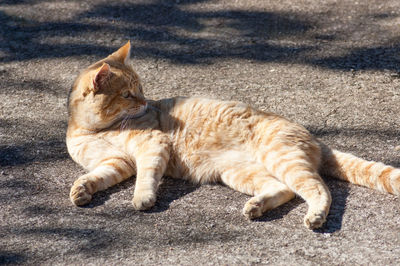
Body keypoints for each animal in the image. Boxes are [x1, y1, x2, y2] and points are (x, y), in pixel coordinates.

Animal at [66, 41, 400, 229]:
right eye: (127, 94)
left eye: (141, 89)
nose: (145, 102)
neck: (94, 129)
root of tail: (315, 138)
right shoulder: (116, 163)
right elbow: (95, 177)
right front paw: (81, 190)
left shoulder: (150, 146)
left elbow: (146, 176)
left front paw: (142, 197)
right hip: (238, 172)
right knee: (284, 189)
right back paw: (257, 206)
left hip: (281, 159)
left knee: (320, 190)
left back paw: (315, 216)